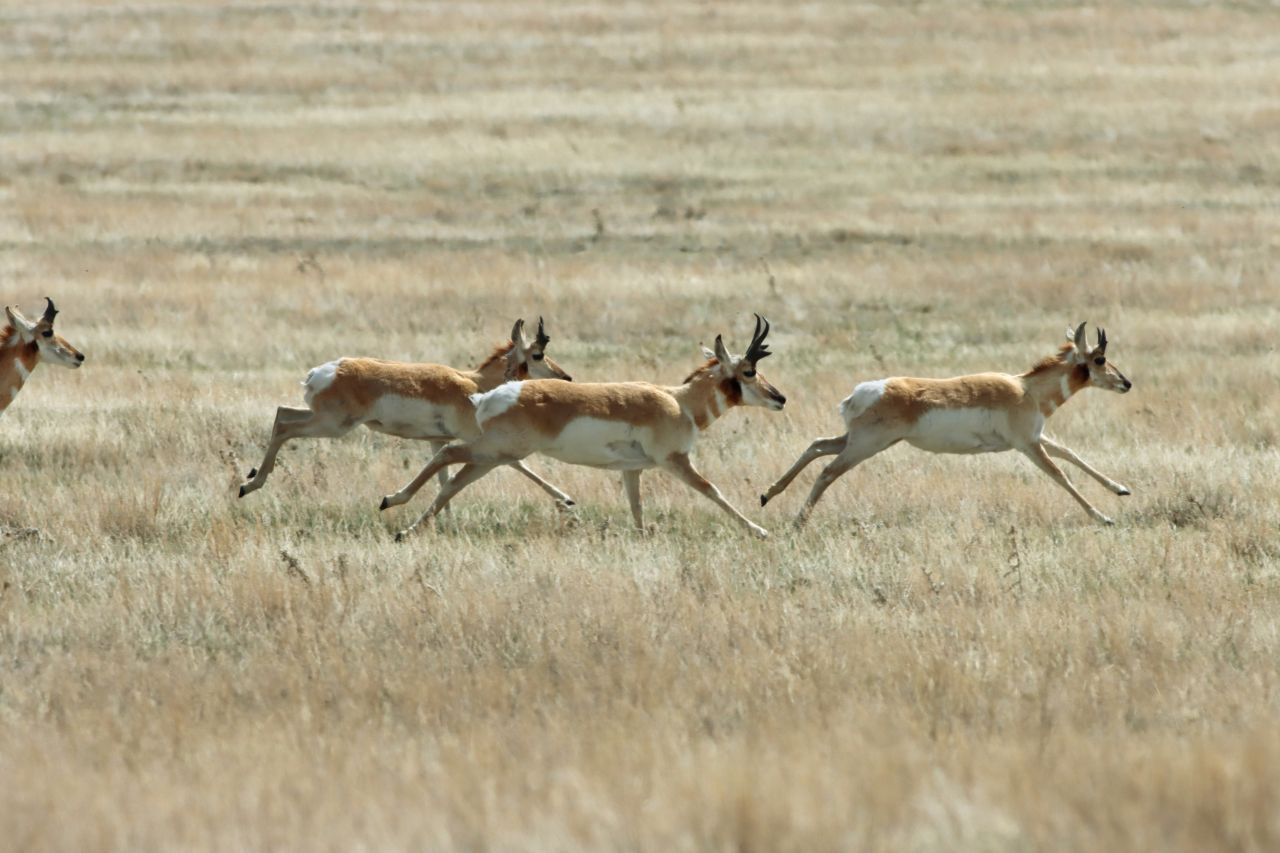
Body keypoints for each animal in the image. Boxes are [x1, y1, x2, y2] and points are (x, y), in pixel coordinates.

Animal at [239, 318, 576, 504]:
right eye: (538, 354)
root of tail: (325, 371)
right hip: (333, 426)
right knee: (285, 426)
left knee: (282, 413)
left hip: (322, 419)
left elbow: (442, 477)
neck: (474, 382)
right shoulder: (483, 442)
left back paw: (251, 478)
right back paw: (250, 484)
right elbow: (518, 465)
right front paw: (566, 500)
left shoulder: (438, 441)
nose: (567, 379)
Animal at [373, 312, 783, 537]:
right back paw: (392, 501)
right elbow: (714, 491)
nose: (780, 398)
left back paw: (405, 529)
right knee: (446, 453)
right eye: (749, 370)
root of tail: (496, 394)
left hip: (492, 456)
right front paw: (760, 531)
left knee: (453, 482)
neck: (677, 401)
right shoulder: (675, 461)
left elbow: (637, 508)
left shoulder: (632, 470)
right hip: (495, 450)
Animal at [757, 322, 1131, 525]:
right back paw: (797, 522)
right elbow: (1061, 475)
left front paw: (1121, 489)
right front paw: (1104, 517)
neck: (1026, 388)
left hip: (858, 440)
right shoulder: (1029, 445)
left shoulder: (1037, 439)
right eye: (1100, 358)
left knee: (817, 445)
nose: (1126, 383)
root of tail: (862, 392)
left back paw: (766, 494)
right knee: (827, 471)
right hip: (865, 446)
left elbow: (1072, 454)